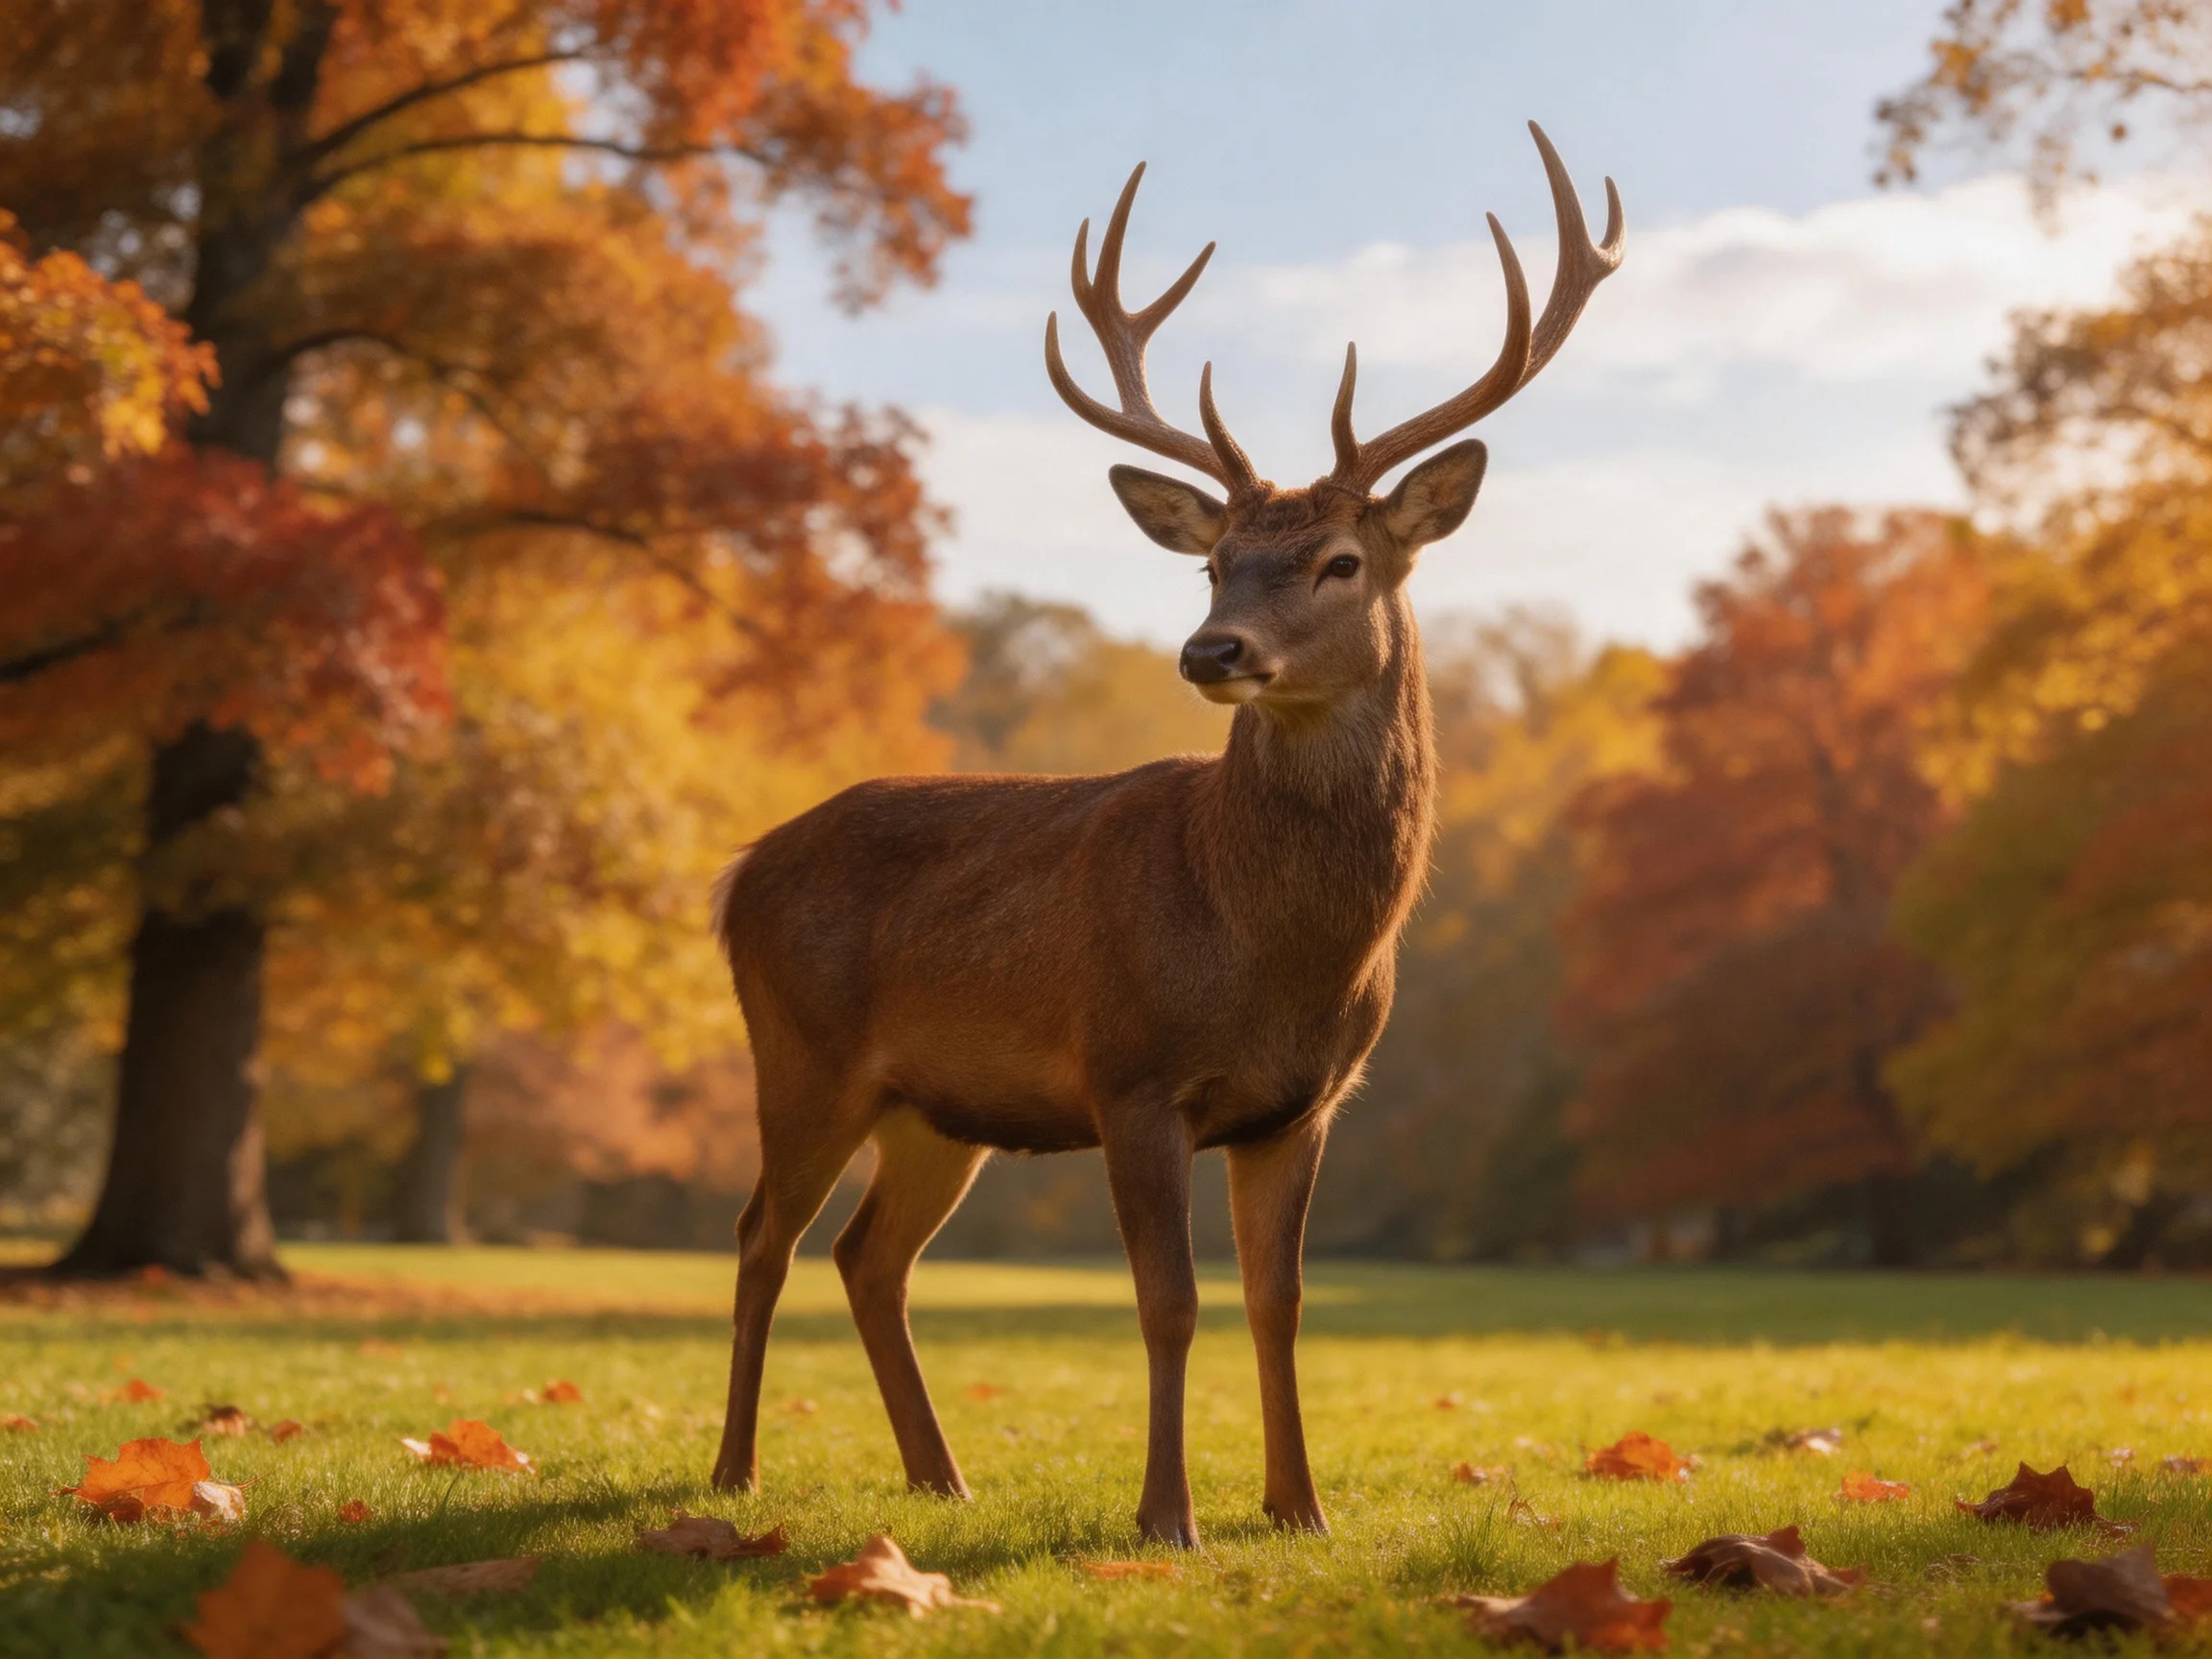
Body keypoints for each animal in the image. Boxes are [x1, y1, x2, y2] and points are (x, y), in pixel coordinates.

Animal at [708, 122, 1622, 1546]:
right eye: (1212, 564)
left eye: (1342, 561)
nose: (1212, 651)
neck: (1275, 947)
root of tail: (739, 872)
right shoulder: (1131, 1073)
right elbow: (1170, 1302)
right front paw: (1165, 1518)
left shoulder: (1304, 1103)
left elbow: (1279, 1303)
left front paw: (1300, 1509)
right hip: (801, 1049)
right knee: (762, 1237)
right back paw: (734, 1473)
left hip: (939, 1108)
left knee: (869, 1257)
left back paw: (941, 1476)